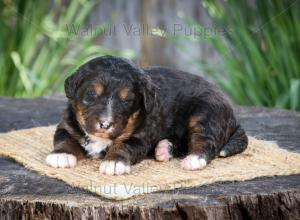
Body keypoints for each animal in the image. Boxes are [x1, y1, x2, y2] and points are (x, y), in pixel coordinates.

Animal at [46, 55, 248, 175]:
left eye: (127, 100)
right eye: (90, 94)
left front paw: (114, 163)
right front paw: (61, 155)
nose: (105, 124)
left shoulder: (139, 137)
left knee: (206, 141)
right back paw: (164, 149)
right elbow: (64, 139)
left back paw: (193, 160)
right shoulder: (66, 125)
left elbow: (123, 146)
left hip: (206, 112)